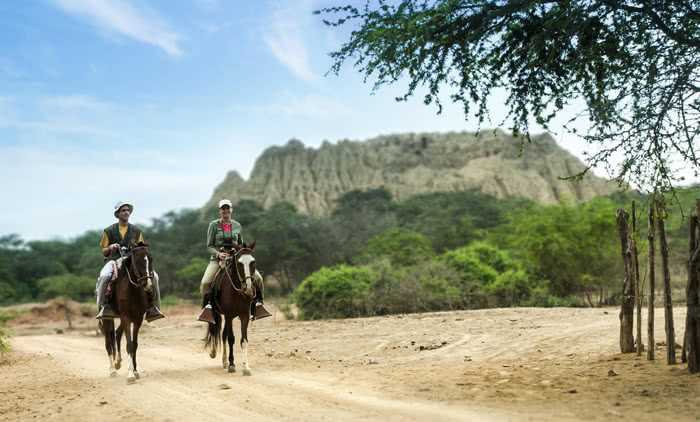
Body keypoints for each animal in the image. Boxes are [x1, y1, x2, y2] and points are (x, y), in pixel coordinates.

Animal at [98, 241, 152, 382]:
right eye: (137, 260)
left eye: (151, 259)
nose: (148, 284)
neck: (132, 290)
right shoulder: (126, 317)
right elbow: (129, 344)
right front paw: (130, 375)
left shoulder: (137, 319)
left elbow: (134, 344)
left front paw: (135, 371)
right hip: (107, 319)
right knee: (108, 343)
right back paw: (112, 370)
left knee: (117, 334)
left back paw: (118, 362)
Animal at [202, 241, 258, 376]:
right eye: (239, 263)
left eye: (253, 261)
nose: (248, 288)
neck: (237, 291)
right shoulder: (228, 315)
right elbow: (231, 339)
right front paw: (232, 365)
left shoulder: (244, 315)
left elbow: (243, 340)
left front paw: (246, 367)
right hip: (216, 313)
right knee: (215, 331)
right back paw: (215, 354)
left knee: (223, 335)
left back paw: (225, 361)